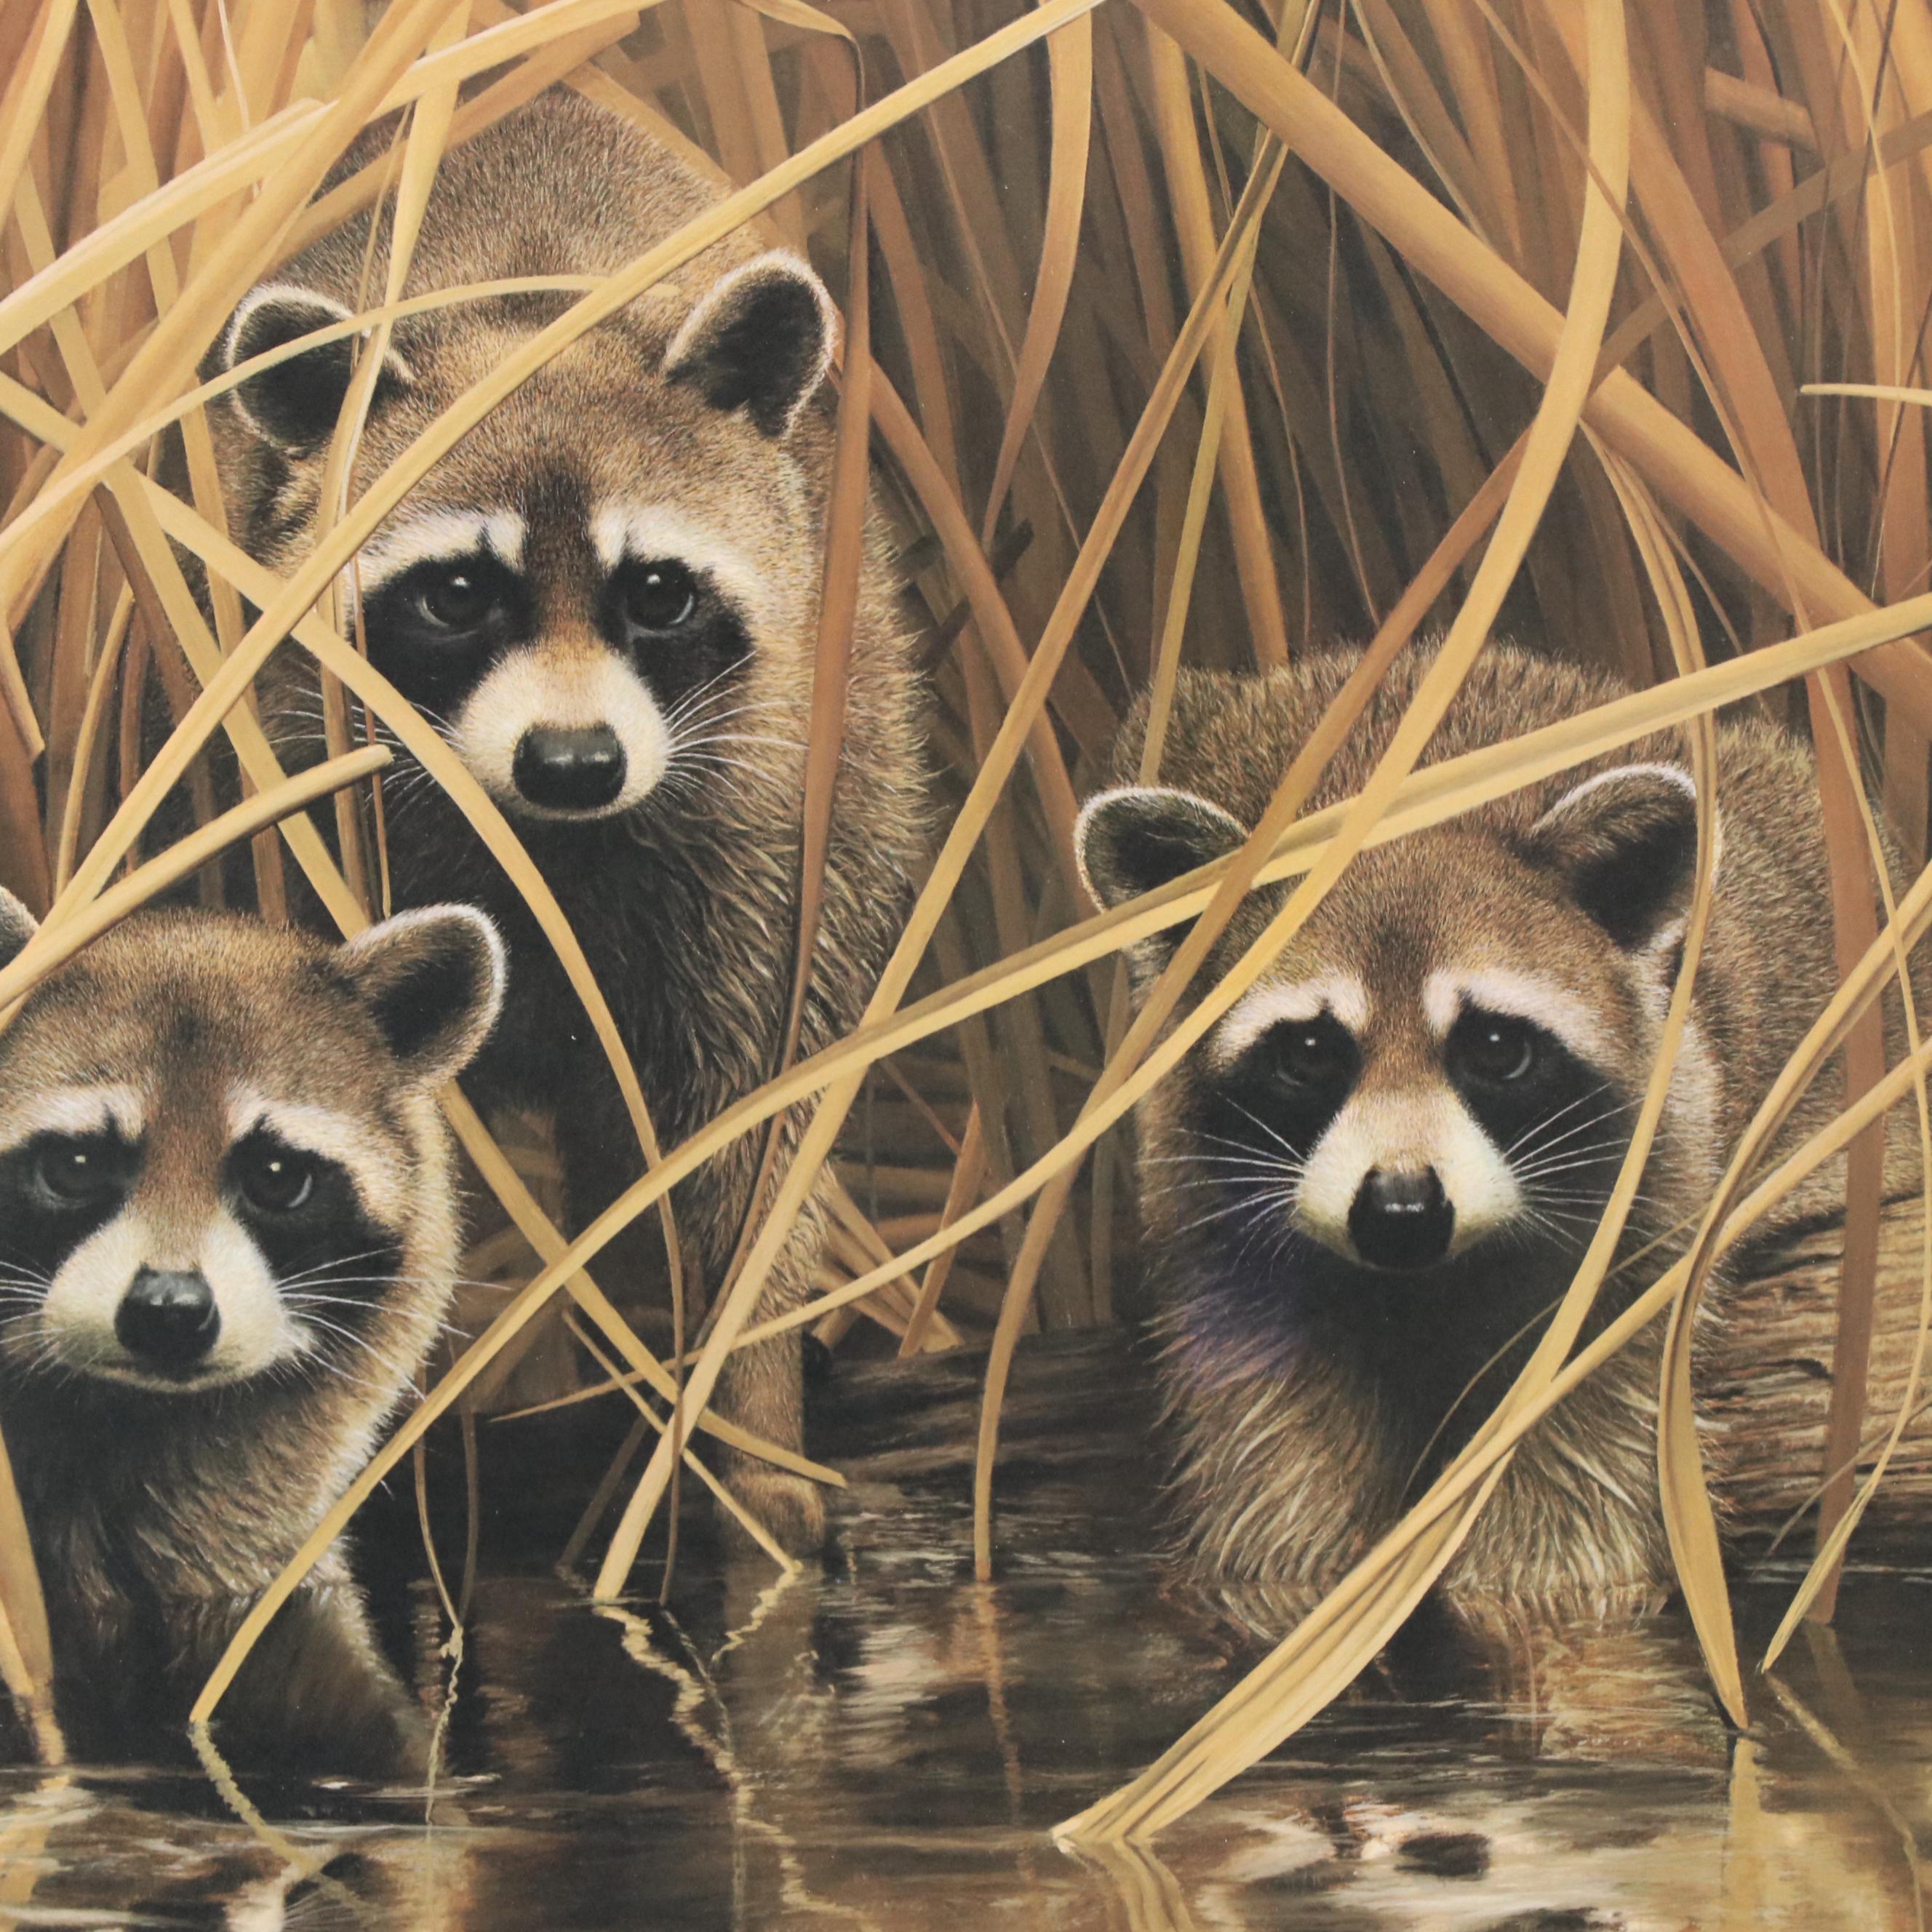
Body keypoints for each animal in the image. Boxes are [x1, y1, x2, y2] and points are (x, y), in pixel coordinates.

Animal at [207, 90, 925, 1552]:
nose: (577, 762)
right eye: (454, 596)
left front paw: (754, 1440)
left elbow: (746, 1141)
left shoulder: (778, 825)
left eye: (655, 592)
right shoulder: (320, 804)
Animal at [1077, 644, 1929, 1627]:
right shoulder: (1205, 1210)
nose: (1401, 1210)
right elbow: (1272, 1464)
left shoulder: (1646, 1199)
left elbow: (1573, 1468)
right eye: (1307, 1052)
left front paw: (1533, 1599)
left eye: (1492, 1047)